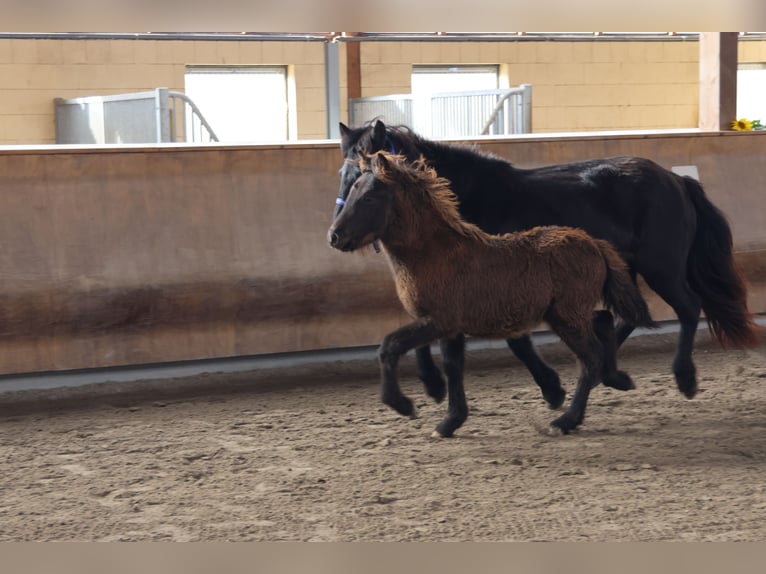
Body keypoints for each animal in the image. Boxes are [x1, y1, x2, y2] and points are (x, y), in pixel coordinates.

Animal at [327, 151, 656, 436]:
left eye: (369, 196)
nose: (334, 236)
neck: (434, 253)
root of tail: (595, 244)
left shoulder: (440, 321)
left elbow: (389, 346)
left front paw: (404, 405)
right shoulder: (449, 327)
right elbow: (453, 367)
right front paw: (449, 422)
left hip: (567, 317)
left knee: (591, 358)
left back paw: (565, 420)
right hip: (567, 312)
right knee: (603, 321)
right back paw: (617, 379)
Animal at [334, 120, 760, 409]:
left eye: (364, 181)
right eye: (344, 174)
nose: (336, 235)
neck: (471, 198)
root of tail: (677, 181)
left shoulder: (498, 285)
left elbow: (516, 341)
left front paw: (553, 389)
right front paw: (433, 384)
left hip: (663, 266)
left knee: (687, 307)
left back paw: (683, 377)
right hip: (629, 267)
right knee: (629, 315)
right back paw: (611, 372)